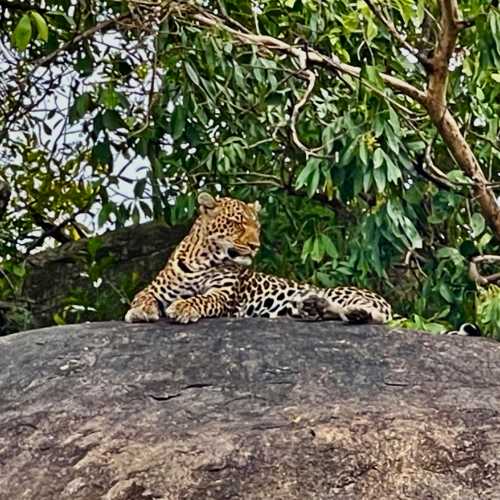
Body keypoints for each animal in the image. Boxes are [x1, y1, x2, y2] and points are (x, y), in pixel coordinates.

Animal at [124, 191, 390, 324]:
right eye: (237, 223)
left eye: (257, 227)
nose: (255, 246)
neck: (201, 260)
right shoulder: (156, 288)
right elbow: (143, 297)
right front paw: (141, 311)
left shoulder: (224, 296)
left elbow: (203, 299)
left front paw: (183, 307)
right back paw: (313, 308)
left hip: (342, 293)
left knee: (374, 315)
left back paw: (352, 312)